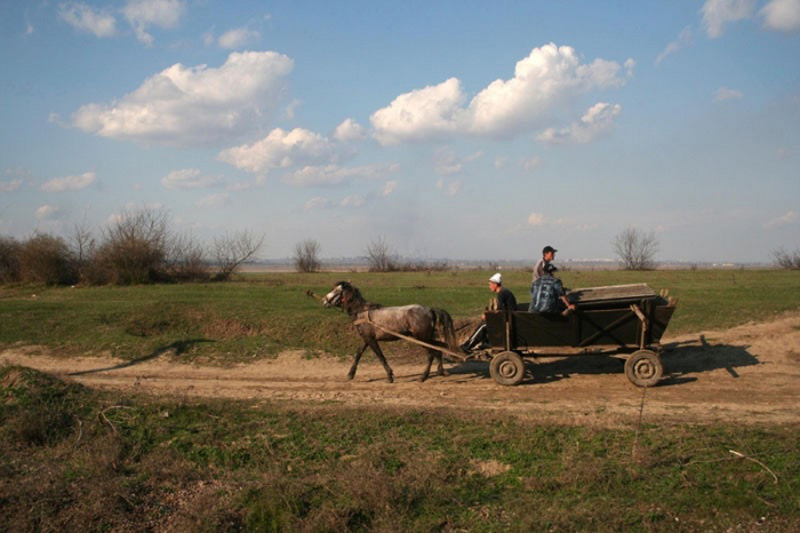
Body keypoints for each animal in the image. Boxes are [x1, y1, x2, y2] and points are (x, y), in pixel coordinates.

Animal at [321, 281, 461, 383]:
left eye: (336, 291)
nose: (324, 301)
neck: (362, 311)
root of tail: (430, 309)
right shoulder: (366, 339)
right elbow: (358, 354)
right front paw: (350, 374)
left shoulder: (371, 340)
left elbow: (380, 356)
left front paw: (389, 376)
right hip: (427, 338)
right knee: (439, 348)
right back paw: (441, 371)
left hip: (421, 338)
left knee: (432, 353)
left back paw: (423, 377)